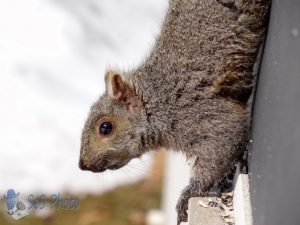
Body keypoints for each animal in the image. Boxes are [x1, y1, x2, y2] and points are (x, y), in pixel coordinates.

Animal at [78, 0, 270, 224]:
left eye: (106, 127)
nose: (82, 165)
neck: (156, 102)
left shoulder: (201, 113)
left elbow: (227, 138)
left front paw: (189, 193)